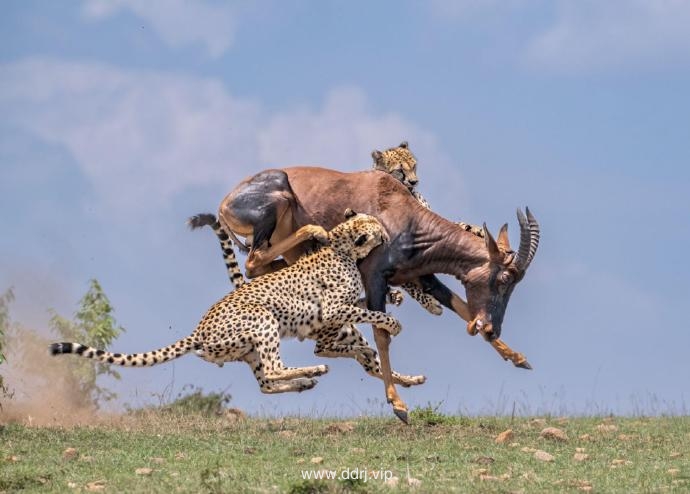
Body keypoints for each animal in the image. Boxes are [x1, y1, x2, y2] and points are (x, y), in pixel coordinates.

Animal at [49, 211, 424, 394]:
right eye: (377, 230)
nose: (388, 234)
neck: (341, 246)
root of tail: (198, 330)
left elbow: (363, 304)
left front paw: (395, 296)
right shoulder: (332, 310)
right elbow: (366, 311)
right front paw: (392, 322)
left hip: (247, 349)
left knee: (267, 381)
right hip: (263, 320)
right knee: (275, 369)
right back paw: (313, 371)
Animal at [199, 168, 536, 422]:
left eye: (516, 281)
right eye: (504, 278)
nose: (491, 329)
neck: (401, 212)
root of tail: (225, 203)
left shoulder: (422, 277)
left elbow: (461, 306)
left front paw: (518, 358)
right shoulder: (374, 279)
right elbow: (382, 334)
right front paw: (398, 405)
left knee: (264, 265)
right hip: (277, 206)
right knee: (255, 261)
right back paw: (314, 236)